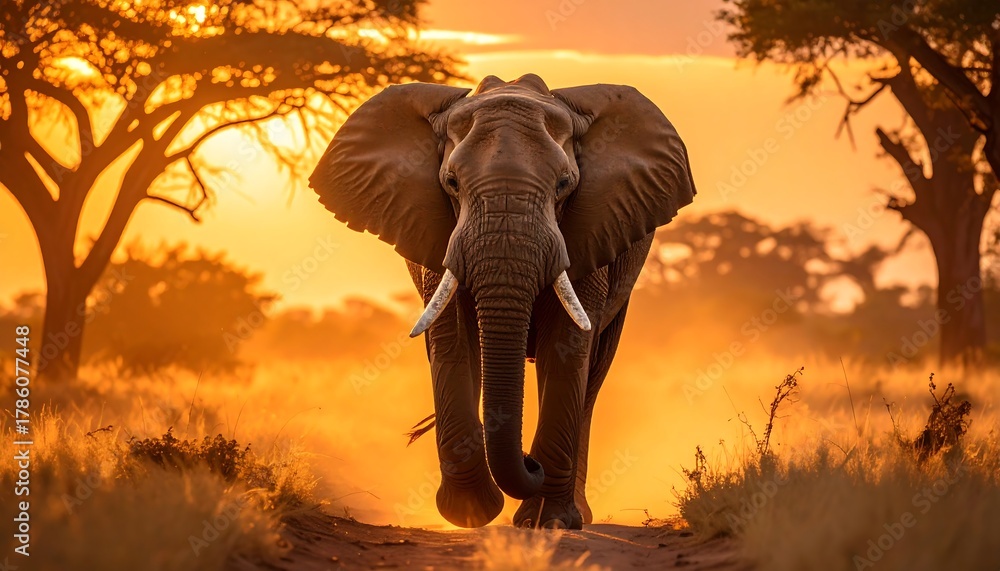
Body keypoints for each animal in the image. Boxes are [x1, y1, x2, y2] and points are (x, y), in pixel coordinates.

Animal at [309, 73, 696, 529]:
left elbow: (567, 347)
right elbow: (453, 341)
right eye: (452, 183)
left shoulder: (589, 232)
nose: (530, 462)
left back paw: (570, 514)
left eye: (564, 185)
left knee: (594, 374)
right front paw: (471, 512)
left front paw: (550, 523)